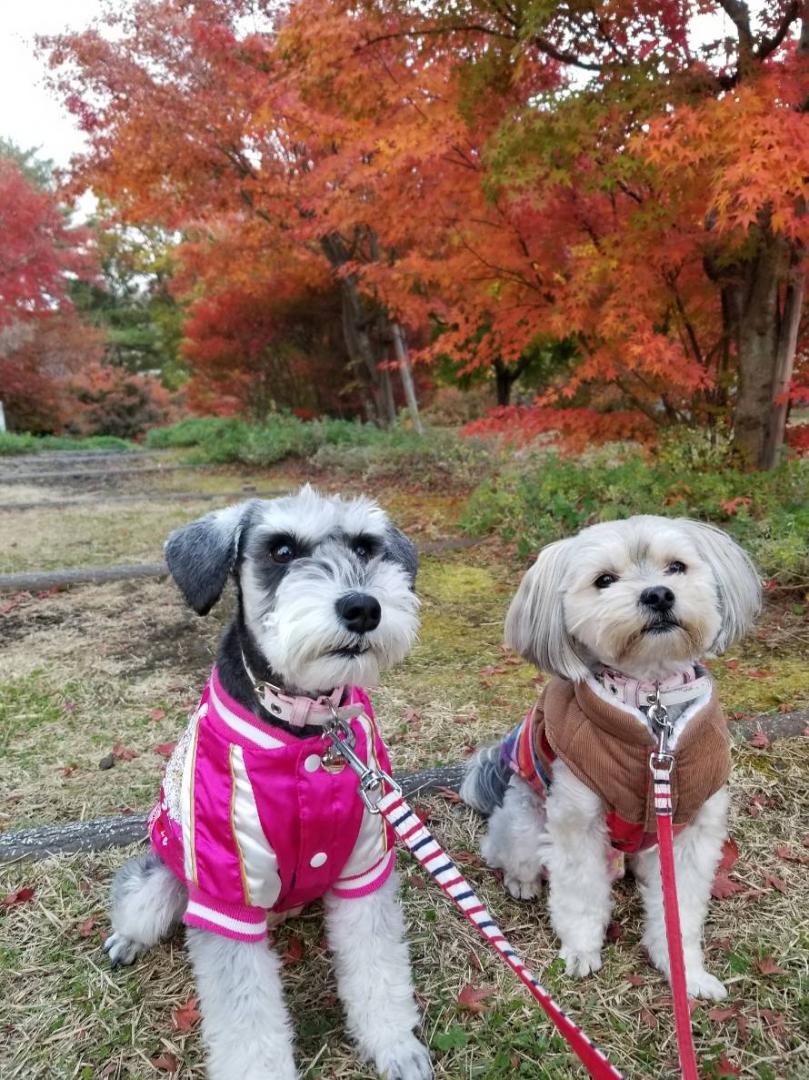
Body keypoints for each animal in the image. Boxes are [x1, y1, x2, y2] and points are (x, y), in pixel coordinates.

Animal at [104, 488, 432, 1080]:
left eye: (366, 547)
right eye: (281, 550)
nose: (363, 607)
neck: (309, 726)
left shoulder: (364, 866)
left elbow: (377, 965)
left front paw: (395, 1045)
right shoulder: (224, 893)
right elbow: (246, 1019)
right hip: (167, 878)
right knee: (136, 899)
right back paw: (124, 939)